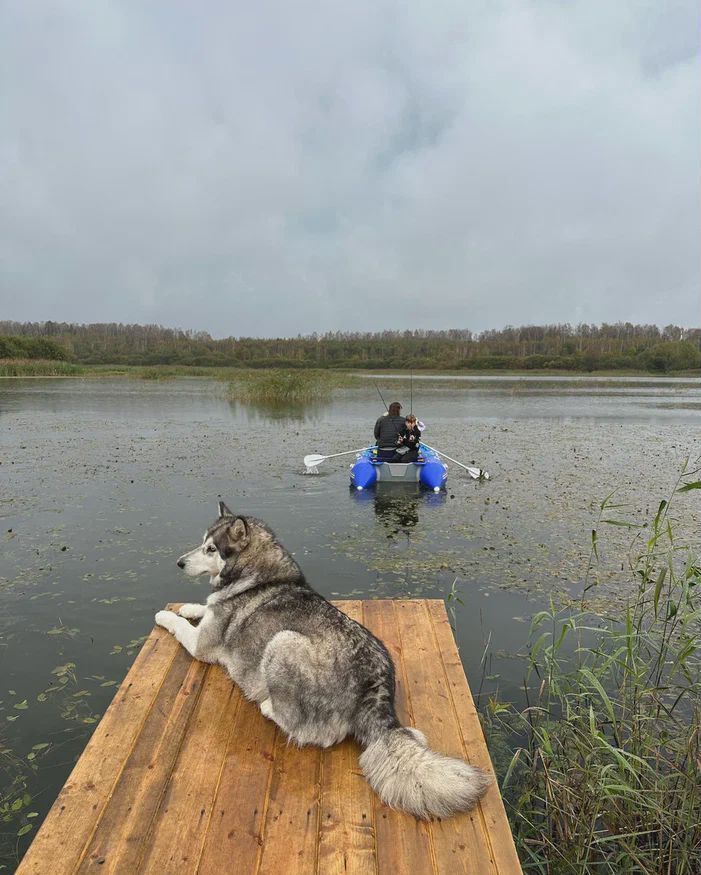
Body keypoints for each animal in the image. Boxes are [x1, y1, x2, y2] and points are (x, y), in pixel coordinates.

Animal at [156, 504, 490, 816]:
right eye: (203, 543)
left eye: (211, 549)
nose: (179, 562)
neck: (257, 577)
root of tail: (374, 685)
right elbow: (202, 608)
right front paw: (189, 607)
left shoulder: (201, 646)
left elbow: (179, 624)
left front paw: (164, 615)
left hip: (282, 642)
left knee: (312, 732)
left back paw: (269, 706)